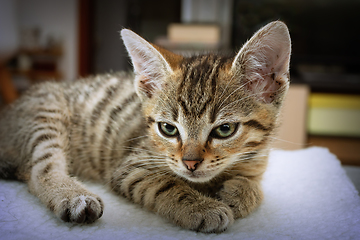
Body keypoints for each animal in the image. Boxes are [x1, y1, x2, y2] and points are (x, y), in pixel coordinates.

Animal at [0, 21, 292, 232]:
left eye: (225, 129)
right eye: (168, 129)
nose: (190, 163)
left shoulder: (257, 162)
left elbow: (253, 183)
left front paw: (239, 193)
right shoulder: (130, 168)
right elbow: (166, 184)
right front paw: (201, 208)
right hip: (46, 113)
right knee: (38, 170)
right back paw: (73, 197)